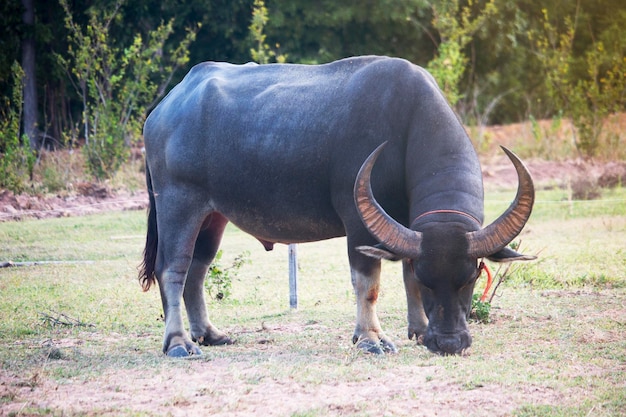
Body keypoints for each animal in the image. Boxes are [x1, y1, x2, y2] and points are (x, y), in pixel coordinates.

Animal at [139, 53, 532, 356]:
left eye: (471, 277)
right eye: (430, 280)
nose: (449, 343)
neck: (406, 127)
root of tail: (164, 109)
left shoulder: (407, 226)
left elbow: (404, 273)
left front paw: (419, 331)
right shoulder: (358, 221)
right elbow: (368, 283)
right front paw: (371, 339)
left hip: (213, 215)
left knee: (198, 270)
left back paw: (209, 334)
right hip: (177, 203)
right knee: (172, 269)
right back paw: (179, 343)